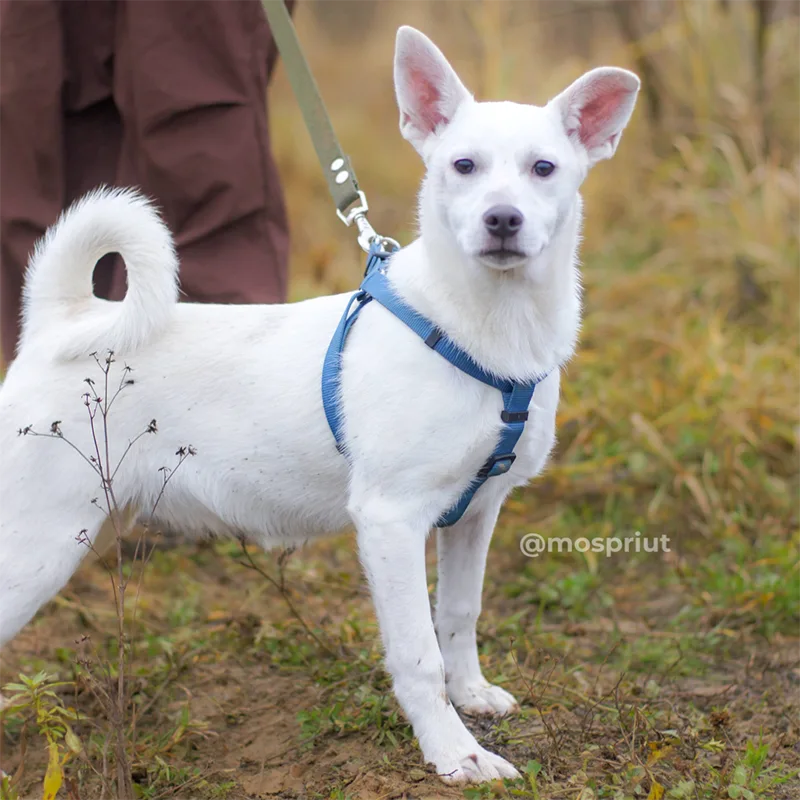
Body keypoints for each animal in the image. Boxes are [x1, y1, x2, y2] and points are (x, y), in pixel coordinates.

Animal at [0, 26, 636, 788]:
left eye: (544, 168)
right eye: (463, 165)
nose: (502, 219)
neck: (480, 327)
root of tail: (63, 322)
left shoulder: (474, 513)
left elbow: (458, 613)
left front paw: (472, 695)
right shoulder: (391, 521)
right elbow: (418, 655)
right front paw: (454, 753)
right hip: (34, 545)